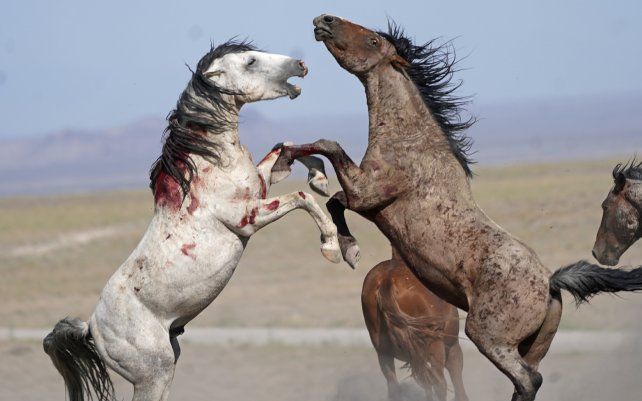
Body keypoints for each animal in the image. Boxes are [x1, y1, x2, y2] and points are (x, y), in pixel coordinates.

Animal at [42, 40, 341, 401]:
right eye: (250, 61)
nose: (300, 65)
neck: (208, 160)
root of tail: (91, 329)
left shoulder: (261, 185)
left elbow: (285, 147)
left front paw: (320, 178)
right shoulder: (249, 217)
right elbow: (302, 198)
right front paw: (332, 247)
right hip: (154, 374)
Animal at [362, 247, 468, 401]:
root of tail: (387, 280)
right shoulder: (452, 347)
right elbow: (459, 389)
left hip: (384, 353)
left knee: (395, 387)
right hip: (436, 346)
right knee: (440, 383)